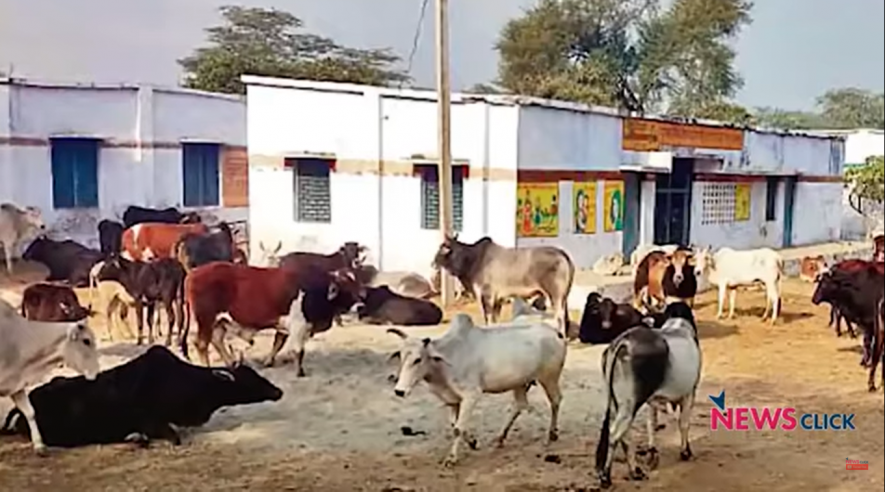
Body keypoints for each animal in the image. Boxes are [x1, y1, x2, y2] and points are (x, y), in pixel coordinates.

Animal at [184, 262, 360, 376]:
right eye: (346, 288)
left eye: (356, 285)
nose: (360, 306)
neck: (316, 288)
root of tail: (193, 273)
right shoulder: (298, 325)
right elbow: (298, 350)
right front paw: (300, 371)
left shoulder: (287, 325)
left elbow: (278, 344)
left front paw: (269, 361)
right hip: (206, 319)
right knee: (202, 344)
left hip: (220, 321)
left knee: (217, 340)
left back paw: (231, 364)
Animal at [387, 300, 566, 467]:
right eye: (401, 356)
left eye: (418, 359)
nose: (399, 391)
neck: (447, 358)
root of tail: (555, 332)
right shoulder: (453, 400)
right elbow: (455, 425)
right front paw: (472, 442)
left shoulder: (471, 395)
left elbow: (458, 428)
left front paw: (451, 458)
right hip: (520, 383)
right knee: (520, 405)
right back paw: (500, 437)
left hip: (549, 378)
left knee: (555, 400)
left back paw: (552, 434)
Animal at [432, 234, 574, 335]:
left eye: (442, 248)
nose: (432, 263)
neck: (472, 260)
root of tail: (562, 254)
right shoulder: (498, 300)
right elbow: (495, 320)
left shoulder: (487, 297)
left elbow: (488, 319)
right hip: (563, 297)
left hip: (556, 296)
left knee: (559, 316)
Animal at [595, 302, 701, 489]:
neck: (679, 326)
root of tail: (623, 341)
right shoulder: (690, 393)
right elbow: (684, 423)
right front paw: (685, 452)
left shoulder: (652, 401)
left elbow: (652, 424)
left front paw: (652, 453)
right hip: (630, 403)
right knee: (615, 434)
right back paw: (606, 477)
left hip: (618, 404)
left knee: (625, 436)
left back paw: (635, 471)